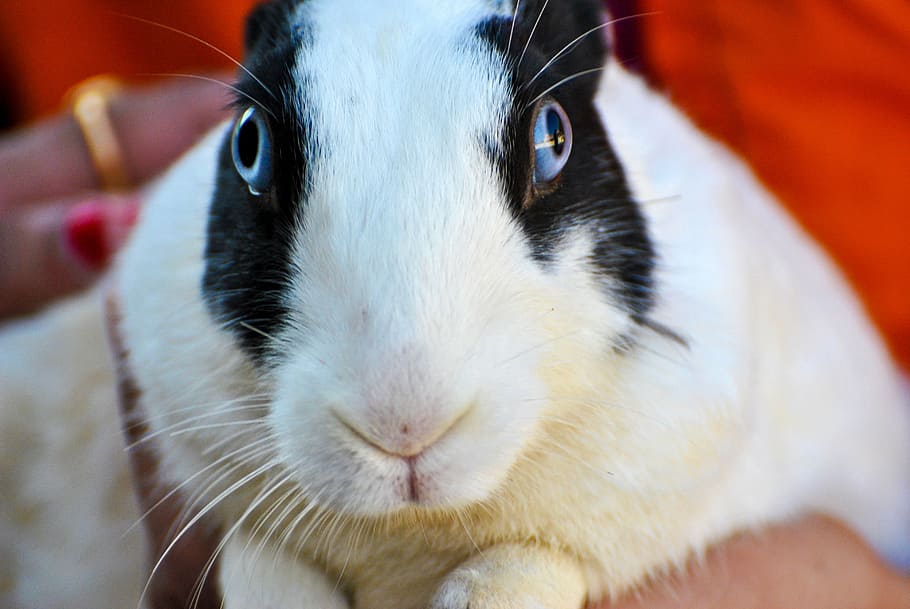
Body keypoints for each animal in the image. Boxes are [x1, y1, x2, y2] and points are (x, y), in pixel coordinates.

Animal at [2, 0, 908, 608]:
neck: (415, 531)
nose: (402, 417)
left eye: (552, 137)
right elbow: (258, 568)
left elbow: (527, 568)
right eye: (250, 146)